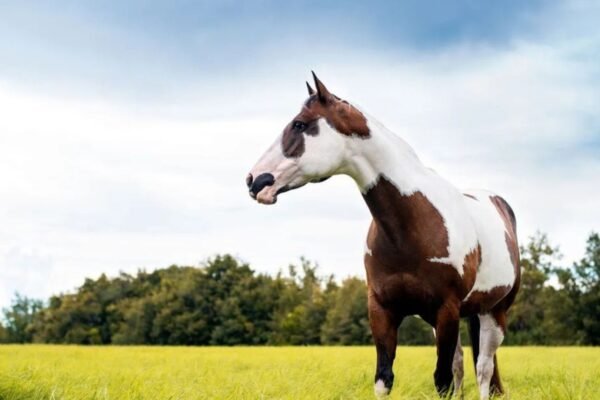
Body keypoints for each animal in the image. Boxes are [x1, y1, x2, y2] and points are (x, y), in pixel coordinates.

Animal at [246, 73, 516, 398]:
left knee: (484, 369)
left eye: (299, 124)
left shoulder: (446, 309)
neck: (411, 226)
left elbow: (442, 379)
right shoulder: (383, 310)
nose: (255, 181)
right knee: (462, 363)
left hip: (493, 313)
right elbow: (384, 379)